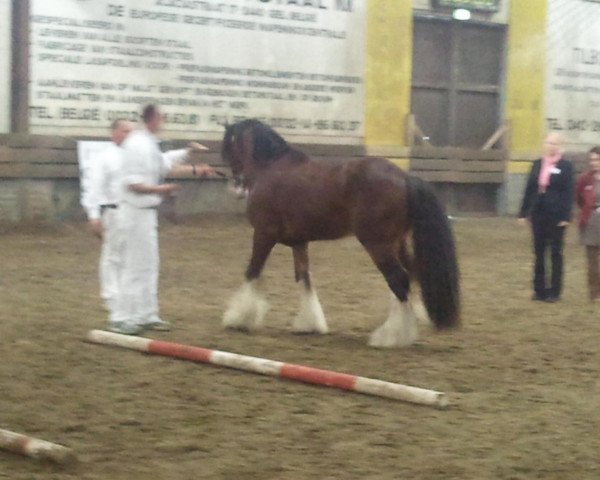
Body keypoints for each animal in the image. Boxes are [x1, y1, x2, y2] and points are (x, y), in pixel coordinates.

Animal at [220, 118, 460, 346]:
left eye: (229, 150)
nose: (237, 188)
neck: (271, 167)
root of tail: (405, 178)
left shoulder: (263, 235)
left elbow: (253, 271)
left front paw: (238, 319)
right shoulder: (299, 242)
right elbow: (304, 277)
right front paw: (310, 323)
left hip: (378, 244)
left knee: (398, 279)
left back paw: (392, 336)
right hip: (397, 243)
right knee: (411, 274)